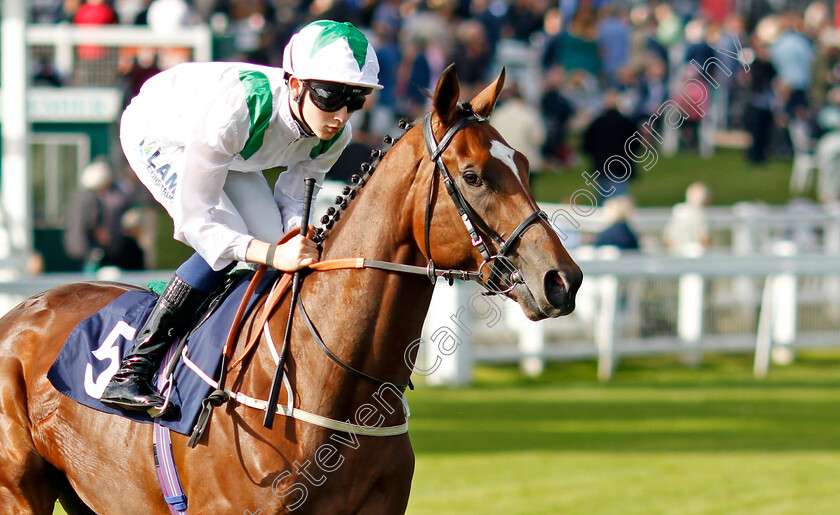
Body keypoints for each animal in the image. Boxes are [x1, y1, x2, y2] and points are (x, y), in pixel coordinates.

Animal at [0, 65, 576, 515]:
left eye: (525, 165)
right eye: (474, 175)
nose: (563, 280)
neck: (337, 387)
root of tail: (21, 311)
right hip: (20, 492)